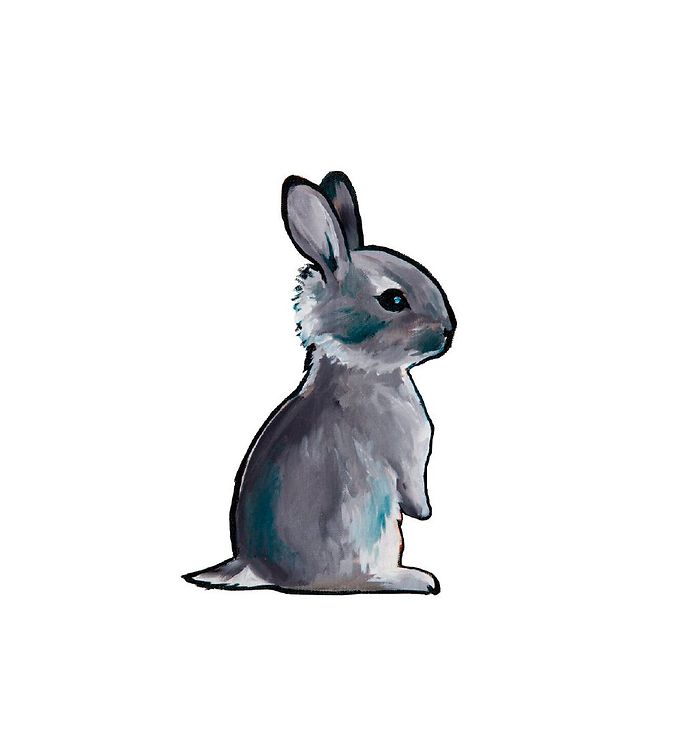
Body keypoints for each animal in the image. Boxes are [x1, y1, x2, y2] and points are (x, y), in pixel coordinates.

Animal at [183, 171, 456, 594]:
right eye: (393, 300)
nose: (449, 331)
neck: (362, 370)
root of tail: (259, 570)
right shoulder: (405, 452)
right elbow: (413, 486)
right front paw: (425, 512)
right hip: (365, 532)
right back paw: (415, 579)